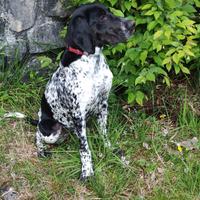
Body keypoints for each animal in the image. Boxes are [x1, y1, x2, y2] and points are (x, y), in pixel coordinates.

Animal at [35, 2, 134, 181]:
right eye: (102, 17)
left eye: (109, 12)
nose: (132, 24)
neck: (91, 62)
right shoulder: (77, 113)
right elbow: (84, 148)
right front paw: (87, 170)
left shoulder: (103, 104)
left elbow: (104, 133)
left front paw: (110, 149)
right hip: (50, 130)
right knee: (37, 134)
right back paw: (40, 150)